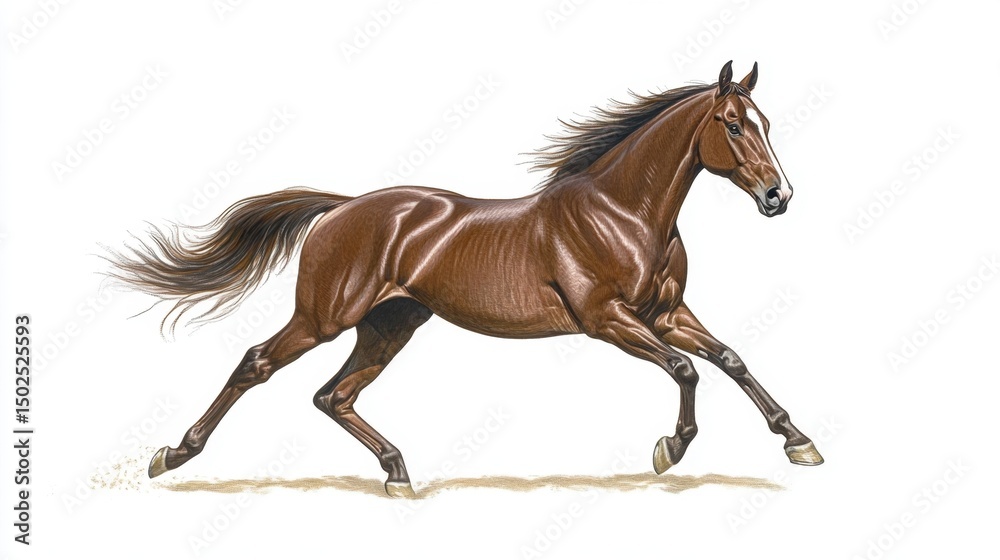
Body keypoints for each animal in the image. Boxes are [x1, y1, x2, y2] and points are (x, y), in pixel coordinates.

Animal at [107, 61, 823, 497]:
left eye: (765, 123)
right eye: (733, 124)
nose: (779, 197)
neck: (624, 213)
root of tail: (340, 208)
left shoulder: (666, 314)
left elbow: (729, 359)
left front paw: (799, 443)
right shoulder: (607, 320)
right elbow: (686, 370)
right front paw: (669, 449)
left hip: (390, 326)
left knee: (333, 396)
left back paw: (398, 474)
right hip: (324, 318)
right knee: (257, 364)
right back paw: (172, 455)